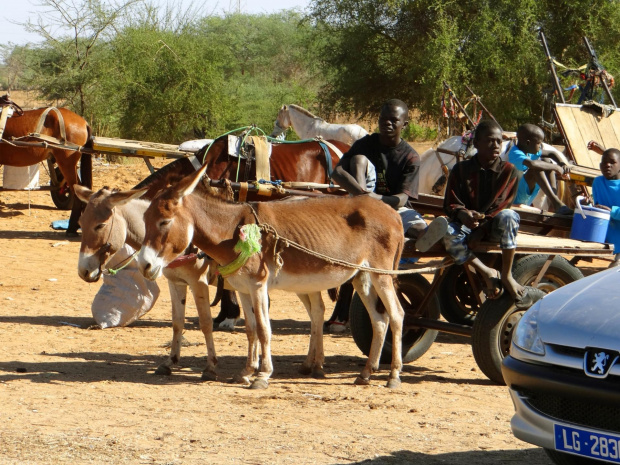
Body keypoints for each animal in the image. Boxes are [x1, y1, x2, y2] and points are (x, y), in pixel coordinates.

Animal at [75, 183, 220, 378]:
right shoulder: (176, 282)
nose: (83, 271)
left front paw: (210, 367)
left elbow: (205, 323)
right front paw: (170, 362)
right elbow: (177, 322)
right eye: (80, 223)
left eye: (100, 225)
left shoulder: (198, 282)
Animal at [136, 163, 406, 388]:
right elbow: (251, 329)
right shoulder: (242, 288)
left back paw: (393, 375)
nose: (144, 265)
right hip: (362, 277)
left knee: (396, 315)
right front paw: (246, 372)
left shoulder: (256, 285)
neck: (232, 230)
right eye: (144, 219)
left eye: (164, 222)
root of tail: (393, 212)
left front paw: (262, 375)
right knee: (378, 319)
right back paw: (365, 374)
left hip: (382, 275)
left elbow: (264, 329)